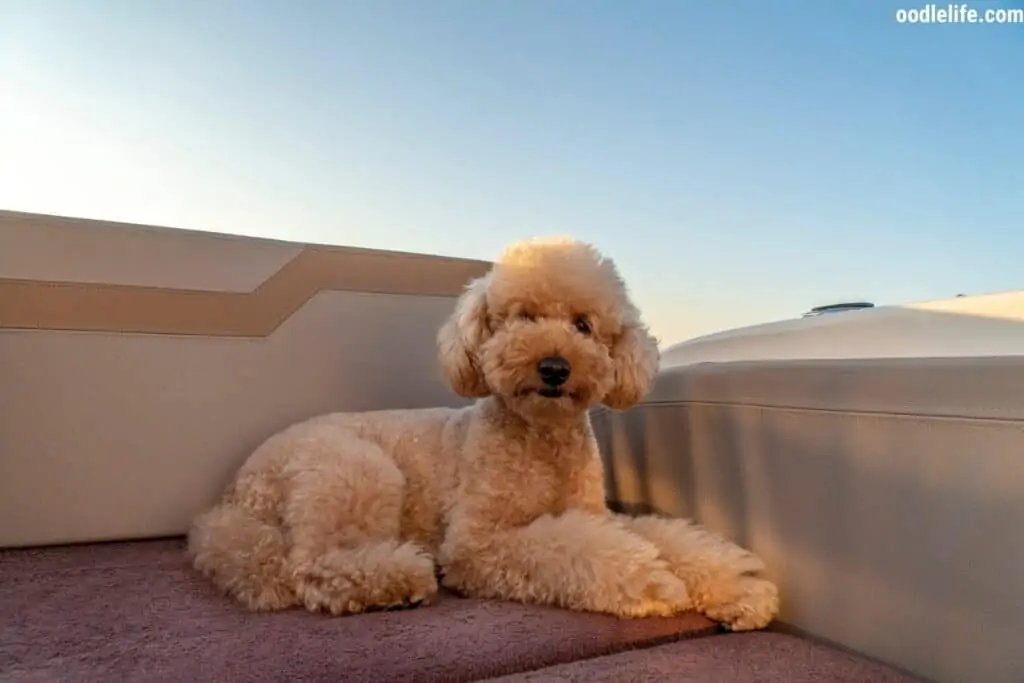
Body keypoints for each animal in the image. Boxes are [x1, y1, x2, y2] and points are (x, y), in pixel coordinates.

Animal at [188, 236, 774, 630]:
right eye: (523, 317)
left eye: (583, 325)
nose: (554, 367)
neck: (540, 440)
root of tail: (234, 495)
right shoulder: (477, 544)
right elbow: (568, 548)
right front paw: (651, 582)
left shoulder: (593, 513)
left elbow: (660, 536)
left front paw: (740, 588)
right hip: (356, 470)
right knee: (312, 567)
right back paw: (400, 579)